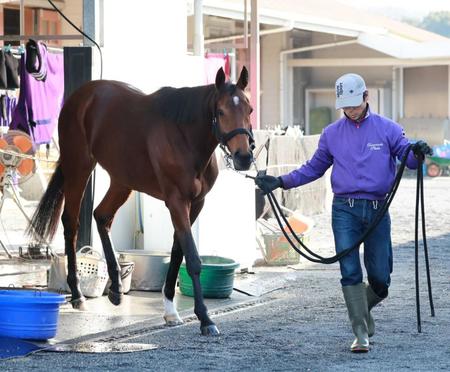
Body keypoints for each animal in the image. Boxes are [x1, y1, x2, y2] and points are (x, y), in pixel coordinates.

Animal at [27, 67, 253, 338]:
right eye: (220, 111)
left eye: (250, 110)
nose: (244, 157)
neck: (184, 136)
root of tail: (81, 95)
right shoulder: (176, 201)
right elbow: (192, 258)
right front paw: (205, 318)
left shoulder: (196, 203)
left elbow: (177, 252)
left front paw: (170, 310)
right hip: (79, 166)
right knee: (71, 223)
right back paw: (78, 294)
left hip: (122, 180)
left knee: (102, 216)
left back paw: (115, 288)